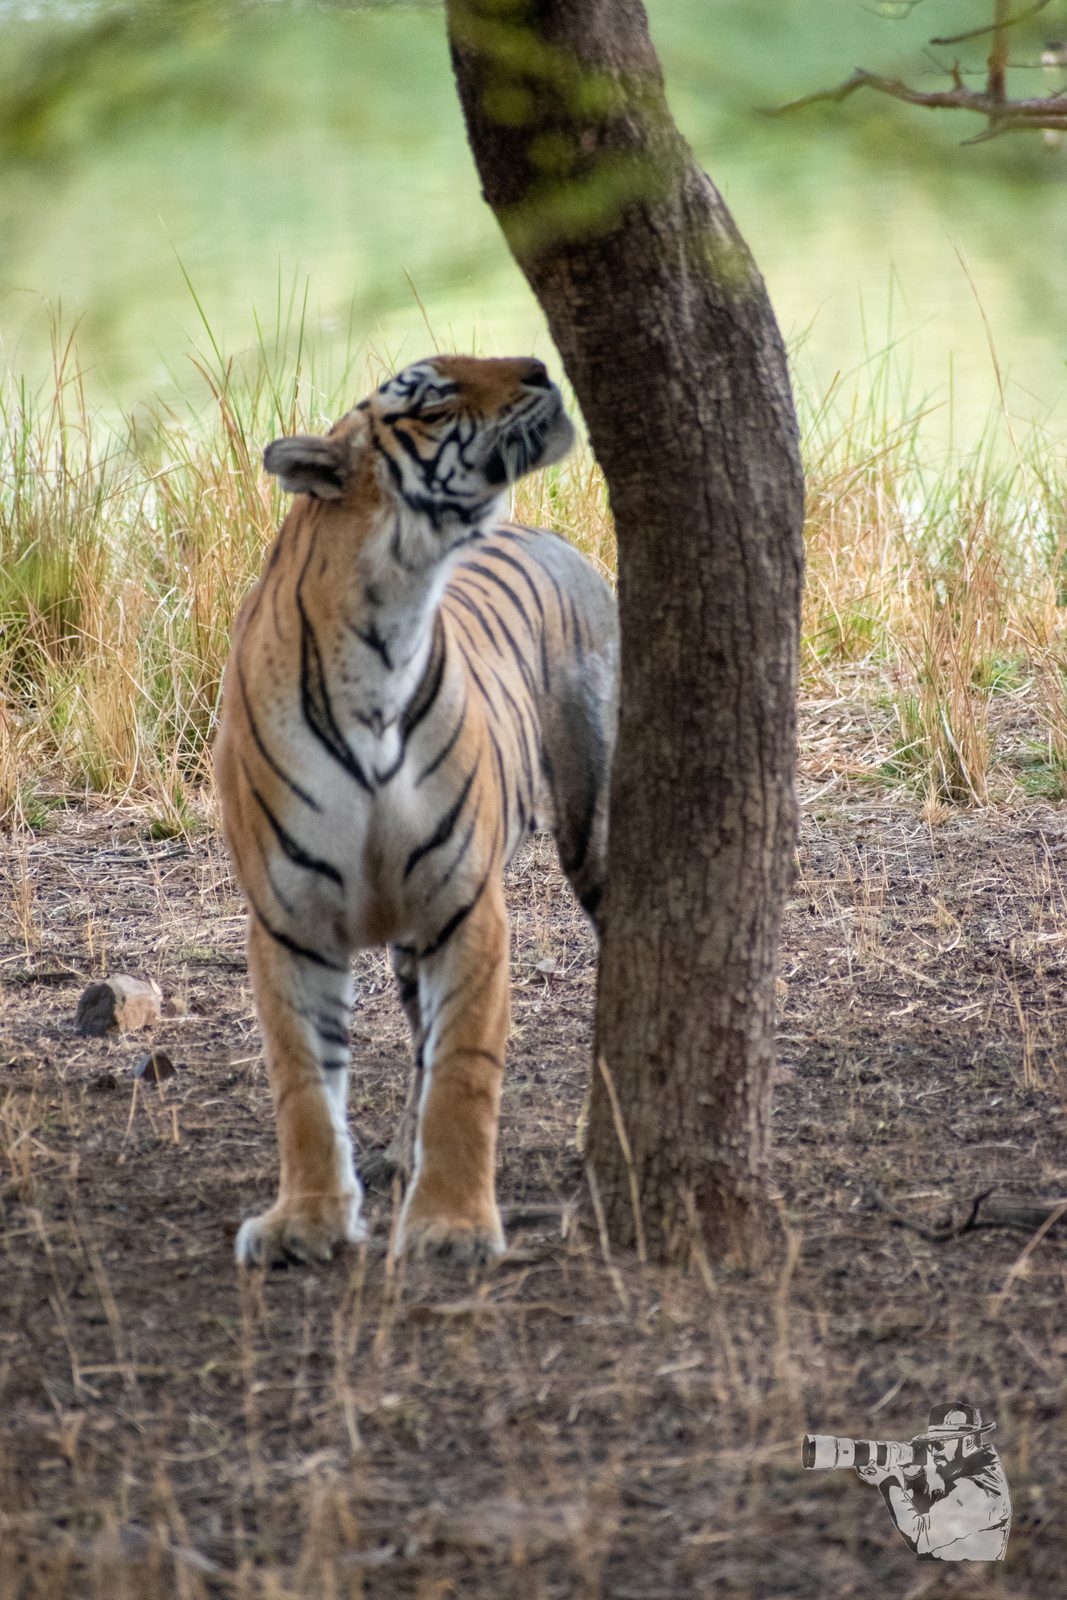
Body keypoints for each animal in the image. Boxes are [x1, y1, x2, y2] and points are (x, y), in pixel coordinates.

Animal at [214, 354, 618, 1267]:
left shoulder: (465, 906)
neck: (386, 623)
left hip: (598, 827)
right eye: (429, 395)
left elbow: (464, 1070)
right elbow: (303, 1083)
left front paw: (451, 1226)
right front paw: (306, 1221)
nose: (540, 364)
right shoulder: (288, 920)